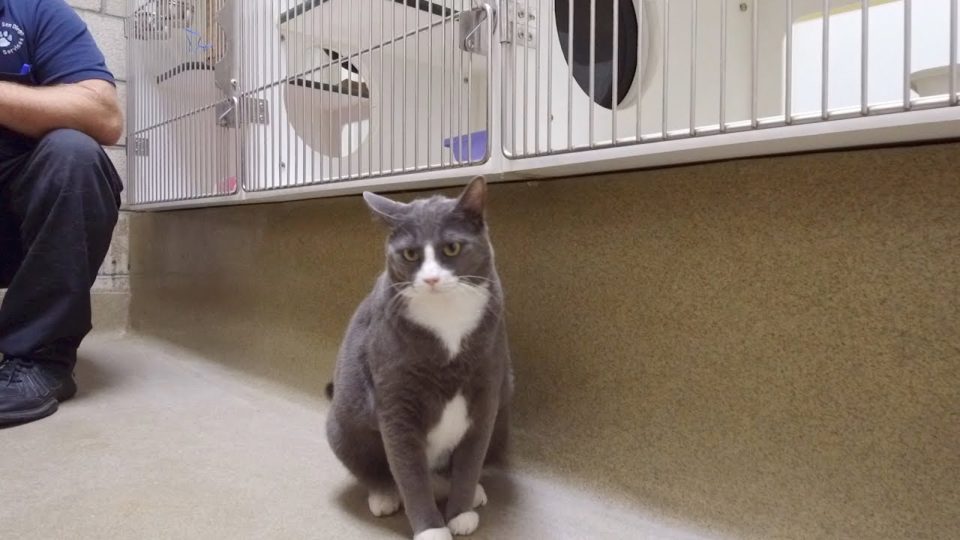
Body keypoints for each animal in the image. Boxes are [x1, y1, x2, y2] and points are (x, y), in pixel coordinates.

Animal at [326, 177, 513, 540]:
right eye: (410, 254)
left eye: (451, 248)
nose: (431, 278)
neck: (447, 321)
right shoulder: (396, 400)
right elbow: (409, 472)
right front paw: (432, 530)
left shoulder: (487, 389)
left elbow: (470, 459)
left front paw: (460, 512)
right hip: (342, 425)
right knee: (374, 468)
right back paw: (384, 495)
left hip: (503, 413)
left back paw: (472, 491)